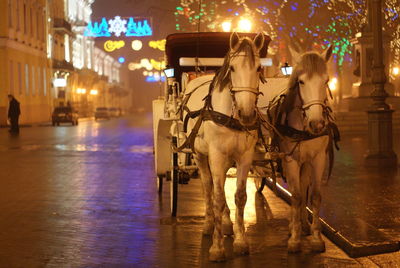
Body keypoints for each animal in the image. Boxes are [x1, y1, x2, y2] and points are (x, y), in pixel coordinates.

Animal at [186, 32, 264, 260]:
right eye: (233, 68)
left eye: (259, 68)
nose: (247, 113)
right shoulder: (216, 155)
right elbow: (218, 197)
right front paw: (217, 247)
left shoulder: (245, 156)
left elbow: (240, 196)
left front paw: (240, 241)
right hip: (200, 155)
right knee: (208, 187)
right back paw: (209, 224)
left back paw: (228, 224)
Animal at [276, 46, 334, 253]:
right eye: (301, 81)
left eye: (326, 80)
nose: (317, 123)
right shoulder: (290, 159)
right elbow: (296, 196)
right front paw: (295, 238)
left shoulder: (318, 159)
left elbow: (314, 196)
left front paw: (316, 236)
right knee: (298, 191)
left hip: (307, 162)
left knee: (303, 185)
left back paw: (303, 224)